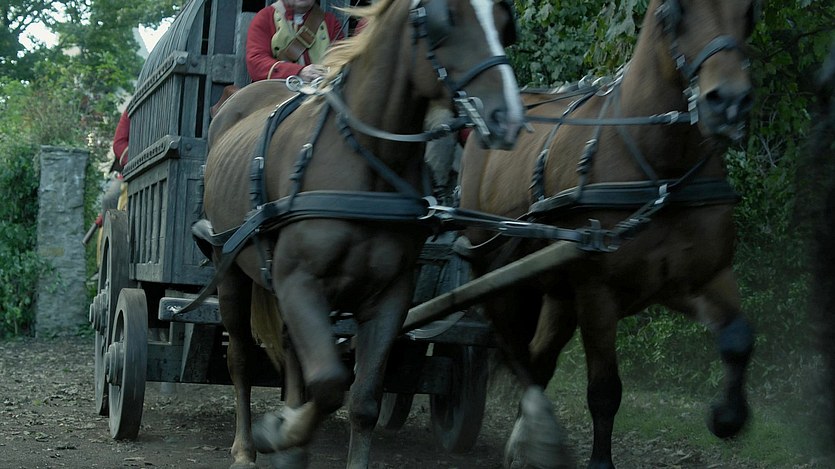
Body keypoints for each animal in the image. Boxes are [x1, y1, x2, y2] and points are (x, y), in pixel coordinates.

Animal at [199, 1, 524, 468]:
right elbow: (330, 383)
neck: (364, 164)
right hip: (231, 274)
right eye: (446, 19)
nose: (509, 118)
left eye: (503, 25)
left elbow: (363, 400)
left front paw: (291, 433)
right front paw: (278, 432)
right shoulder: (299, 282)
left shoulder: (389, 297)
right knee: (240, 356)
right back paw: (246, 446)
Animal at [457, 0, 757, 467]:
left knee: (539, 359)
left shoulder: (700, 278)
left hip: (558, 294)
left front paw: (726, 417)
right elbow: (604, 390)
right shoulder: (598, 295)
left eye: (750, 12)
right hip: (501, 277)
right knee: (516, 349)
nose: (729, 102)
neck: (658, 171)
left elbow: (738, 339)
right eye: (676, 11)